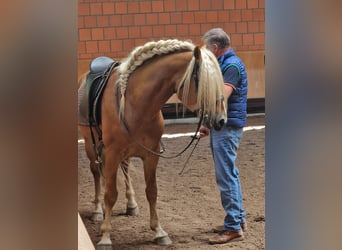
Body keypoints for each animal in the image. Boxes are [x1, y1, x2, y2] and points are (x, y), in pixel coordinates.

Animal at [78, 39, 227, 248]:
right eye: (204, 83)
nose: (221, 120)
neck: (135, 105)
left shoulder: (151, 155)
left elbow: (152, 191)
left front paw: (159, 231)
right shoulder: (113, 153)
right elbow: (111, 193)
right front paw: (106, 236)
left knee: (125, 168)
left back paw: (131, 204)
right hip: (90, 146)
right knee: (96, 173)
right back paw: (98, 211)